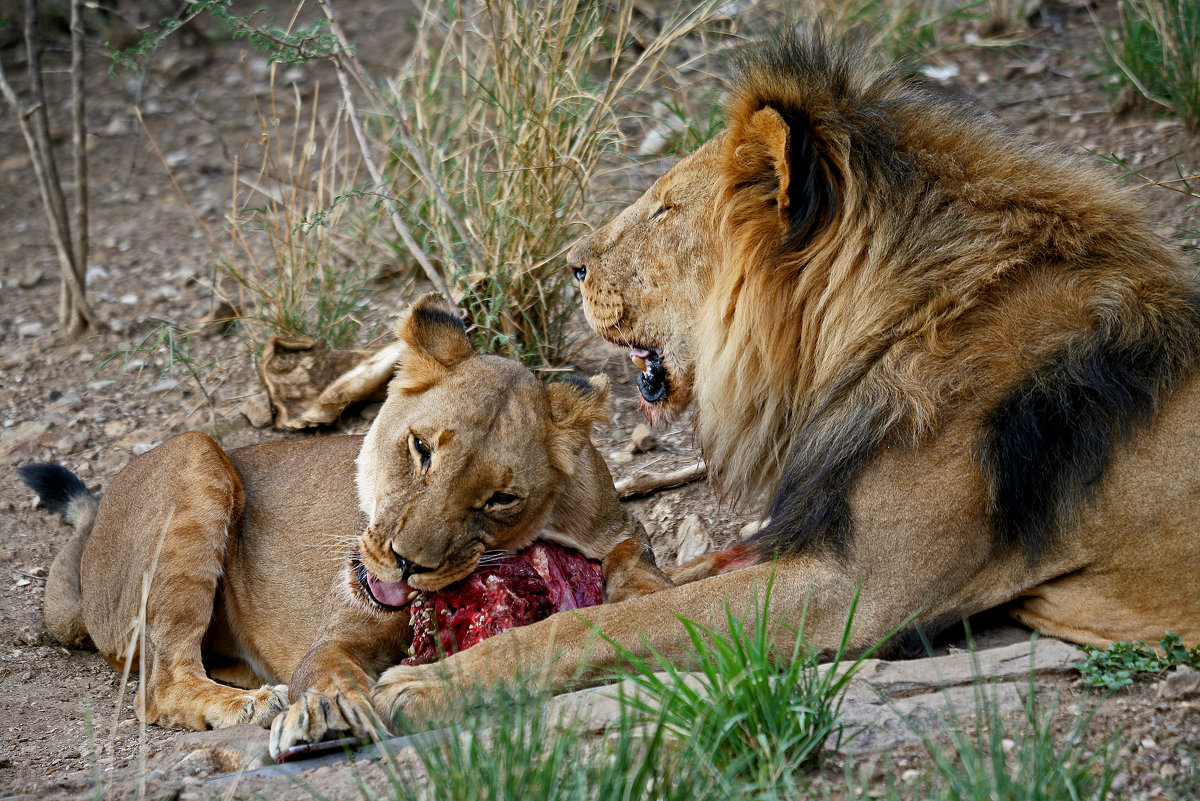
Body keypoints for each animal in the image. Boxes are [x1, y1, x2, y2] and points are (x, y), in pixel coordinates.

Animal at [23, 292, 672, 753]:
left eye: (500, 499)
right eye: (421, 449)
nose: (407, 564)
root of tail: (92, 546)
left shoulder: (614, 527)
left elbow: (638, 572)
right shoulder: (337, 635)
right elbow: (327, 671)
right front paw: (328, 711)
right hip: (196, 452)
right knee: (159, 685)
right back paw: (253, 704)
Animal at [369, 34, 1200, 714]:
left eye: (665, 210)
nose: (572, 264)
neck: (899, 328)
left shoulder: (859, 588)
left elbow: (614, 621)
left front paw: (431, 682)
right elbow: (662, 582)